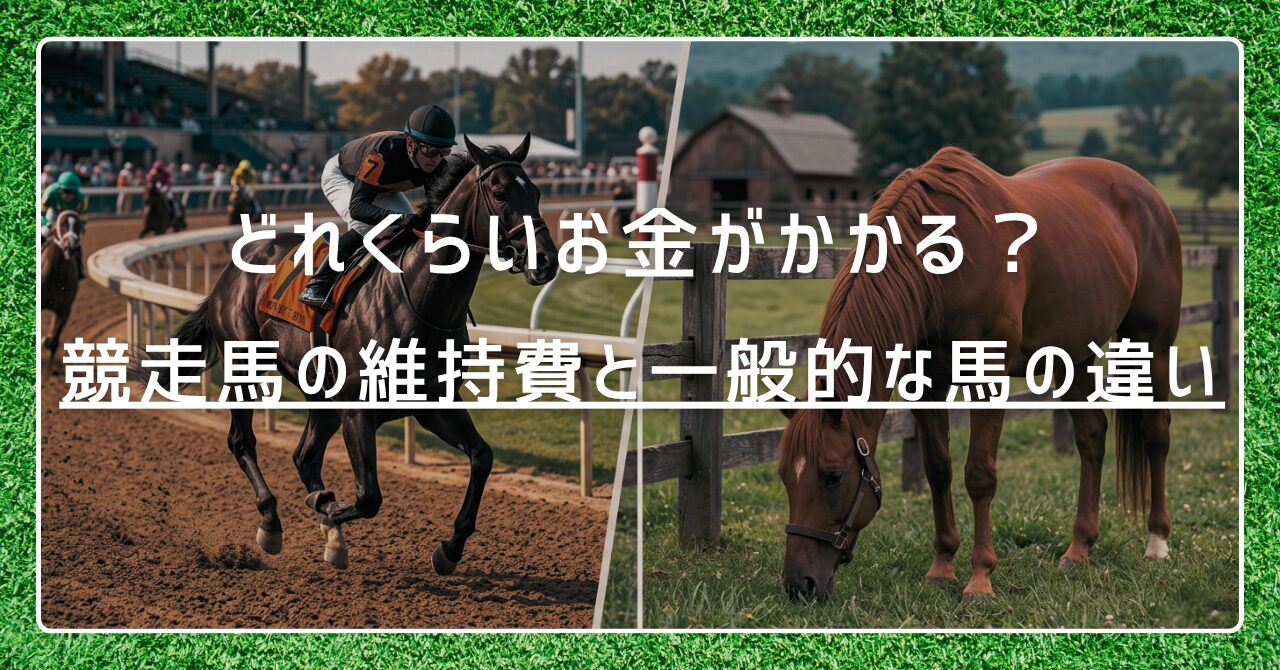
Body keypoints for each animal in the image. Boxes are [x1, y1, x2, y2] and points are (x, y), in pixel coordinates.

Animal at [152, 133, 558, 575]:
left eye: (537, 193)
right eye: (499, 192)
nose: (547, 261)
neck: (420, 297)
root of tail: (227, 273)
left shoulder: (434, 404)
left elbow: (482, 457)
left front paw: (449, 549)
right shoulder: (358, 410)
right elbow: (368, 497)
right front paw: (326, 508)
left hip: (321, 393)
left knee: (305, 456)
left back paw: (328, 532)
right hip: (246, 364)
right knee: (243, 441)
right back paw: (272, 521)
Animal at [776, 147, 1182, 603]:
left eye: (833, 476)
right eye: (785, 477)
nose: (799, 584)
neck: (939, 269)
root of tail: (1147, 193)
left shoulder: (987, 379)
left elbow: (980, 475)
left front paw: (980, 578)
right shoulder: (926, 385)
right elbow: (938, 468)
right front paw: (941, 566)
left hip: (1153, 344)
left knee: (1156, 433)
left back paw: (1157, 542)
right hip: (1071, 357)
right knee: (1092, 437)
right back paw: (1079, 548)